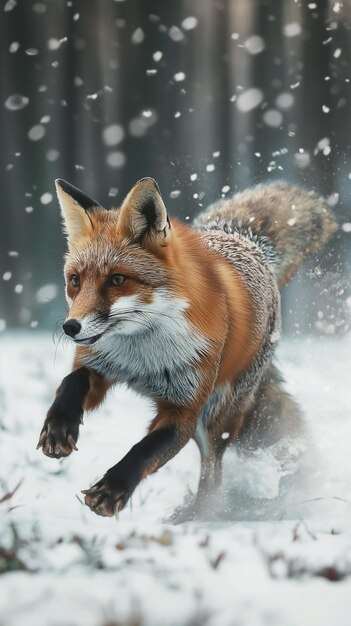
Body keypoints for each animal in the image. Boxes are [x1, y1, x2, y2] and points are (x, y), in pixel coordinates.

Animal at [37, 177, 336, 516]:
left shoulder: (185, 409)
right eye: (75, 280)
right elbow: (71, 381)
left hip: (217, 416)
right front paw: (58, 427)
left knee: (213, 473)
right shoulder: (99, 366)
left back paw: (198, 515)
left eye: (117, 280)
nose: (70, 327)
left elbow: (144, 450)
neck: (143, 359)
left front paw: (113, 490)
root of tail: (245, 241)